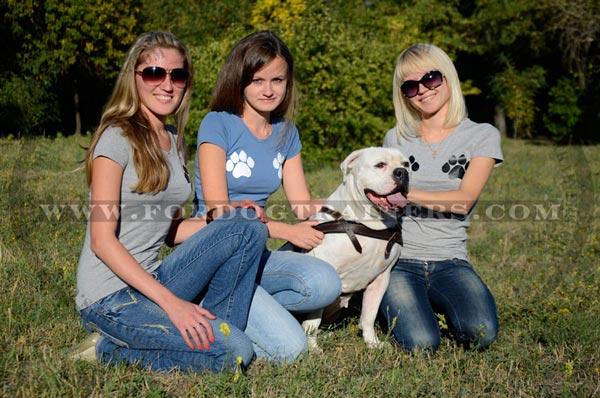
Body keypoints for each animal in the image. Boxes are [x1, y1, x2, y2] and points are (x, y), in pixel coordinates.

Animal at [298, 147, 410, 352]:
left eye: (406, 164)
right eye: (380, 165)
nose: (402, 173)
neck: (370, 222)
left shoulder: (381, 279)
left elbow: (369, 316)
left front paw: (372, 343)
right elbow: (312, 321)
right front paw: (312, 348)